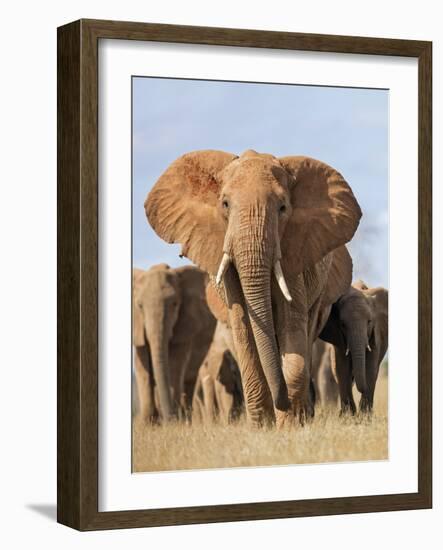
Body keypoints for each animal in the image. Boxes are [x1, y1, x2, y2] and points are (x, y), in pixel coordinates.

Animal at [134, 264, 217, 422]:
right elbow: (142, 367)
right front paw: (148, 423)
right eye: (139, 306)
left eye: (175, 304)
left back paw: (186, 418)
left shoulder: (185, 324)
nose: (169, 419)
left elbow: (175, 363)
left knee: (189, 379)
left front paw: (175, 422)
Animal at [147, 152, 362, 432]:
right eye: (225, 204)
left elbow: (291, 327)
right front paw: (262, 427)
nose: (283, 403)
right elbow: (244, 329)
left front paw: (289, 425)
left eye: (283, 208)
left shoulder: (295, 253)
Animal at [320, 280, 388, 414]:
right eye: (342, 324)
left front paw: (365, 415)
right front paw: (348, 415)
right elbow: (342, 367)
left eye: (369, 322)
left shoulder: (376, 332)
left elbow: (371, 367)